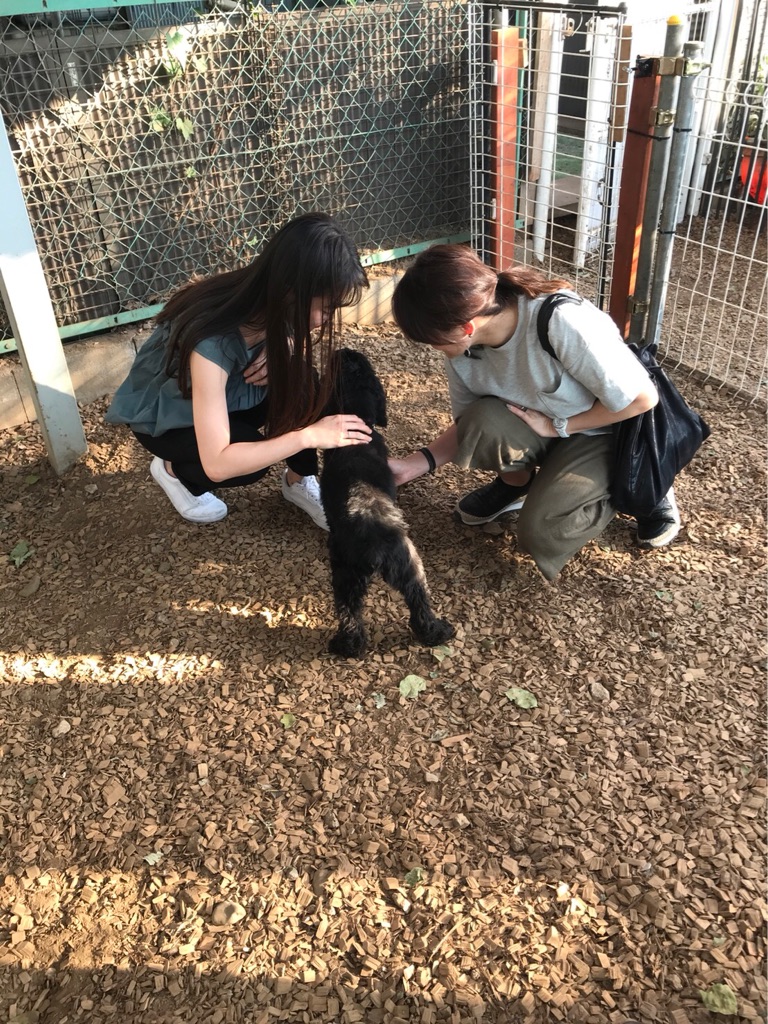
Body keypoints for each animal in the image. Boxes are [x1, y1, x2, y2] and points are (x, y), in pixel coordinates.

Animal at [320, 348, 455, 658]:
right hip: (407, 571)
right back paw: (435, 633)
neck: (358, 433)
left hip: (348, 572)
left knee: (352, 614)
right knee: (416, 608)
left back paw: (346, 646)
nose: (342, 349)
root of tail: (376, 542)